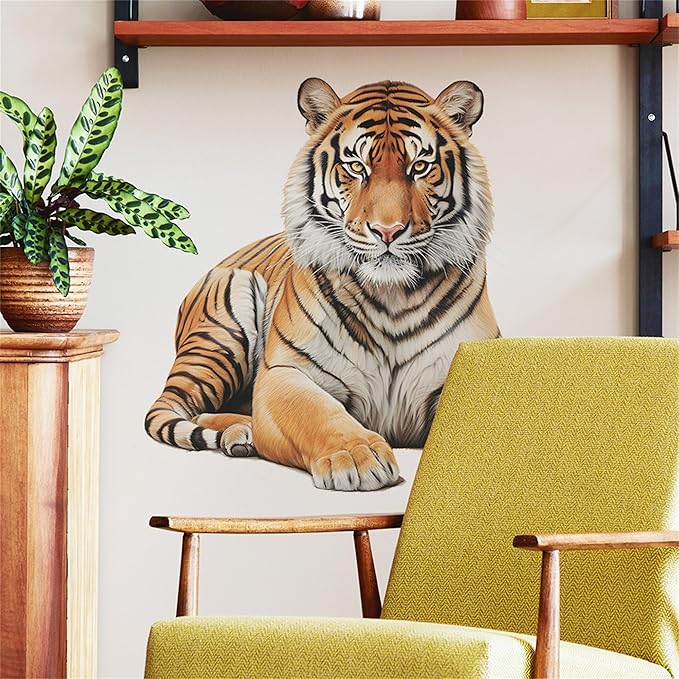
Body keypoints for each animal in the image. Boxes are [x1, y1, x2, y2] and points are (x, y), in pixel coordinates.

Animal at [145, 78, 500, 491]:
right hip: (223, 326)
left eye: (420, 167)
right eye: (356, 167)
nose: (388, 231)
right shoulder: (285, 373)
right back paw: (242, 433)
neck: (392, 295)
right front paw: (356, 457)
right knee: (179, 407)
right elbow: (318, 412)